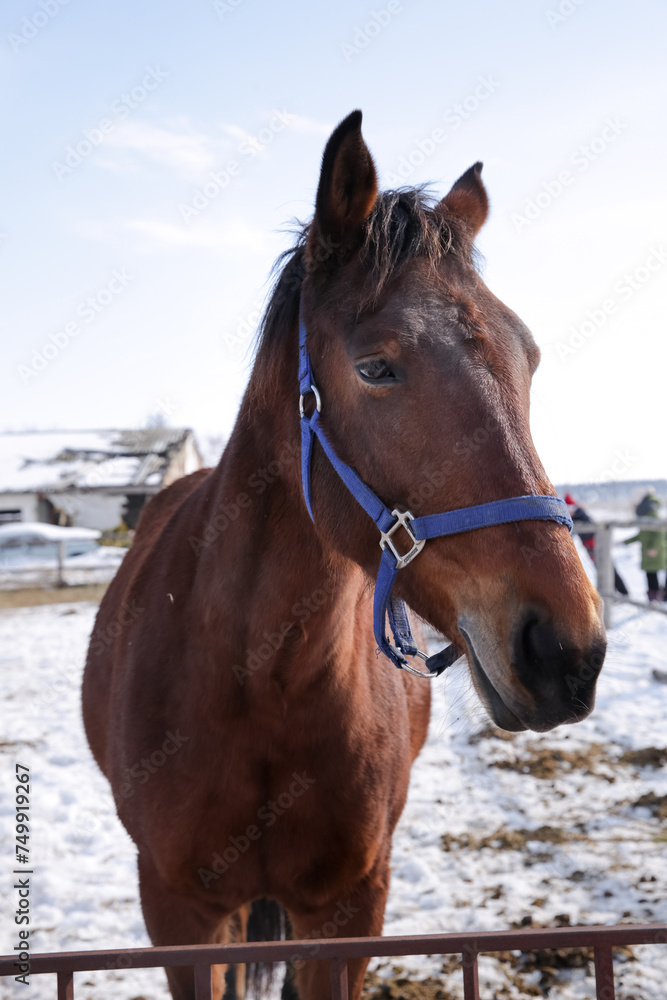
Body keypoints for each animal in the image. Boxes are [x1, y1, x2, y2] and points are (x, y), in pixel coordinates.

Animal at [82, 110, 606, 1000]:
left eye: (527, 359)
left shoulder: (347, 911)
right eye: (375, 367)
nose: (565, 649)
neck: (253, 683)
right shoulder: (179, 915)